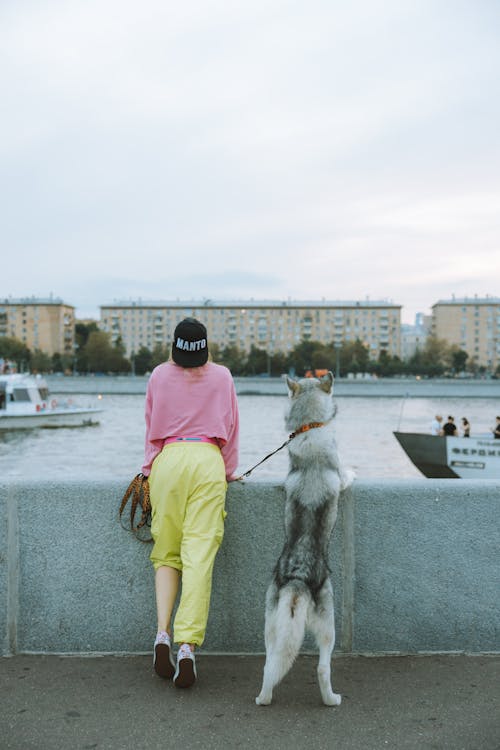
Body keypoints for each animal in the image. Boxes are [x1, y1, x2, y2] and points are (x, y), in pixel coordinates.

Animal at [256, 374, 354, 708]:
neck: (310, 429)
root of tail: (297, 578)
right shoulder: (340, 470)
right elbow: (347, 474)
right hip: (328, 622)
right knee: (323, 668)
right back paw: (331, 699)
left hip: (272, 621)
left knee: (270, 663)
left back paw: (263, 698)